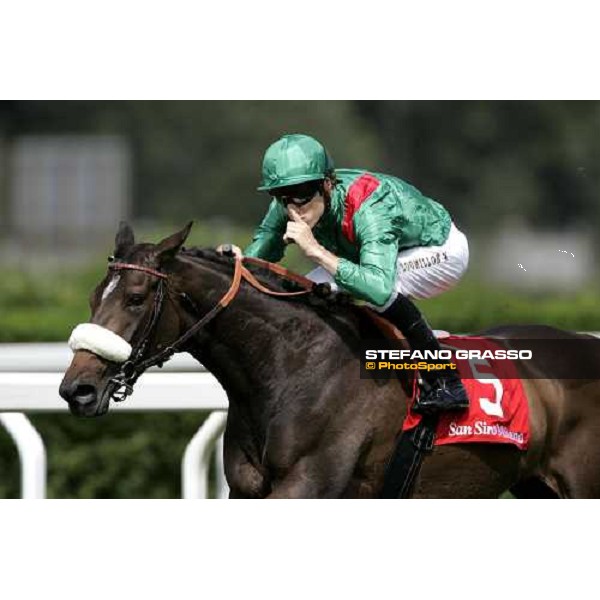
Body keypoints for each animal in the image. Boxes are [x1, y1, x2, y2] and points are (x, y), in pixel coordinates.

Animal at [59, 223, 600, 500]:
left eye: (135, 297)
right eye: (92, 297)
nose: (76, 389)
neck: (290, 366)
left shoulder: (308, 485)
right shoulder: (248, 492)